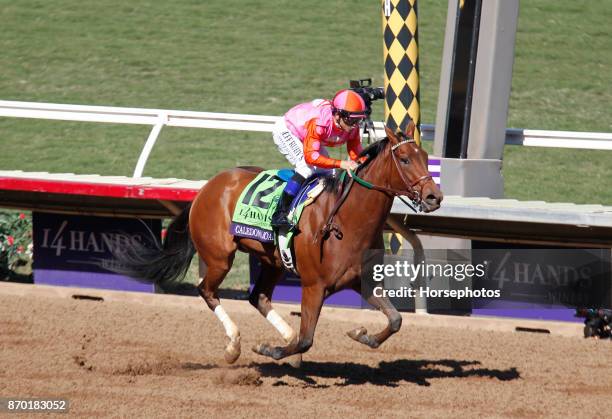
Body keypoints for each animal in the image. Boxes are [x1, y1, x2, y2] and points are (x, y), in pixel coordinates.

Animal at [113, 124, 440, 364]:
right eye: (405, 159)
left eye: (426, 157)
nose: (434, 196)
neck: (346, 221)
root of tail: (207, 187)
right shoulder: (314, 286)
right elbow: (306, 340)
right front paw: (270, 350)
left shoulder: (363, 281)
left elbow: (396, 319)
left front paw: (363, 334)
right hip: (219, 257)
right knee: (207, 291)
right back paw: (234, 346)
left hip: (272, 262)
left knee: (258, 297)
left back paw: (283, 336)